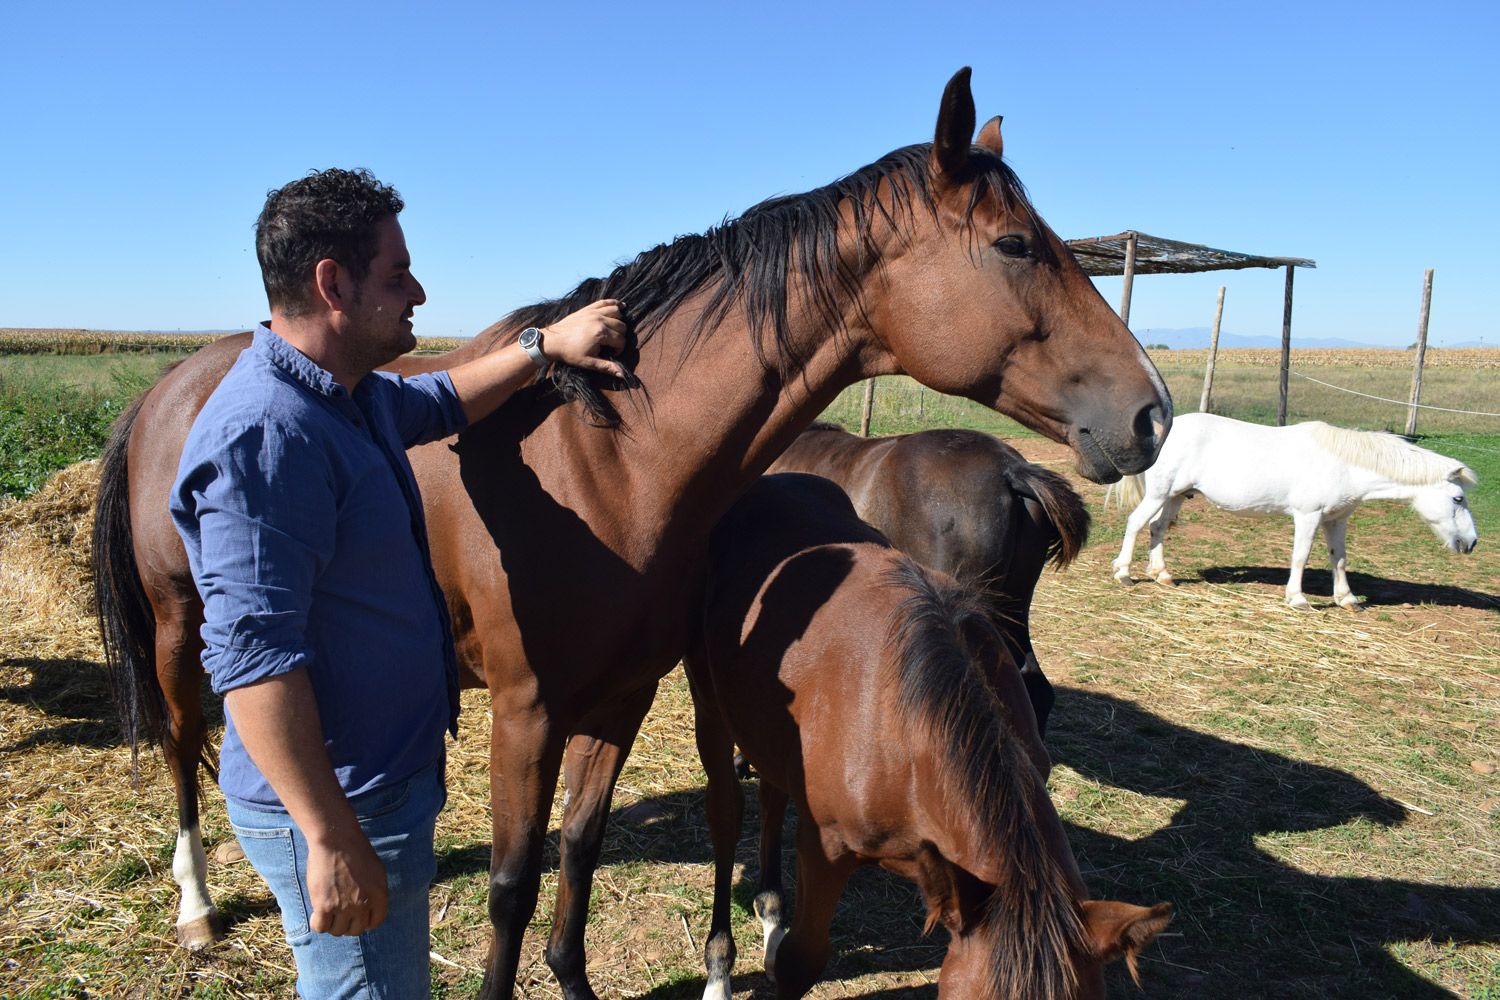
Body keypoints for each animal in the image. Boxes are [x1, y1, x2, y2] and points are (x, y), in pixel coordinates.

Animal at [687, 473, 1171, 1000]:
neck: (910, 743)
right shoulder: (825, 847)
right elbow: (802, 960)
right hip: (711, 711)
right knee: (726, 815)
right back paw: (719, 970)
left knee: (772, 797)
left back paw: (771, 916)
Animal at [1109, 412, 1478, 608]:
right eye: (1458, 499)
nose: (1471, 542)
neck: (1344, 464)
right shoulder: (1308, 515)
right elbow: (1301, 556)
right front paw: (1297, 598)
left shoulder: (1336, 519)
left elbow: (1338, 558)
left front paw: (1347, 599)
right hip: (1159, 493)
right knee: (1136, 523)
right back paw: (1124, 574)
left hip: (1175, 495)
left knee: (1157, 529)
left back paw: (1162, 575)